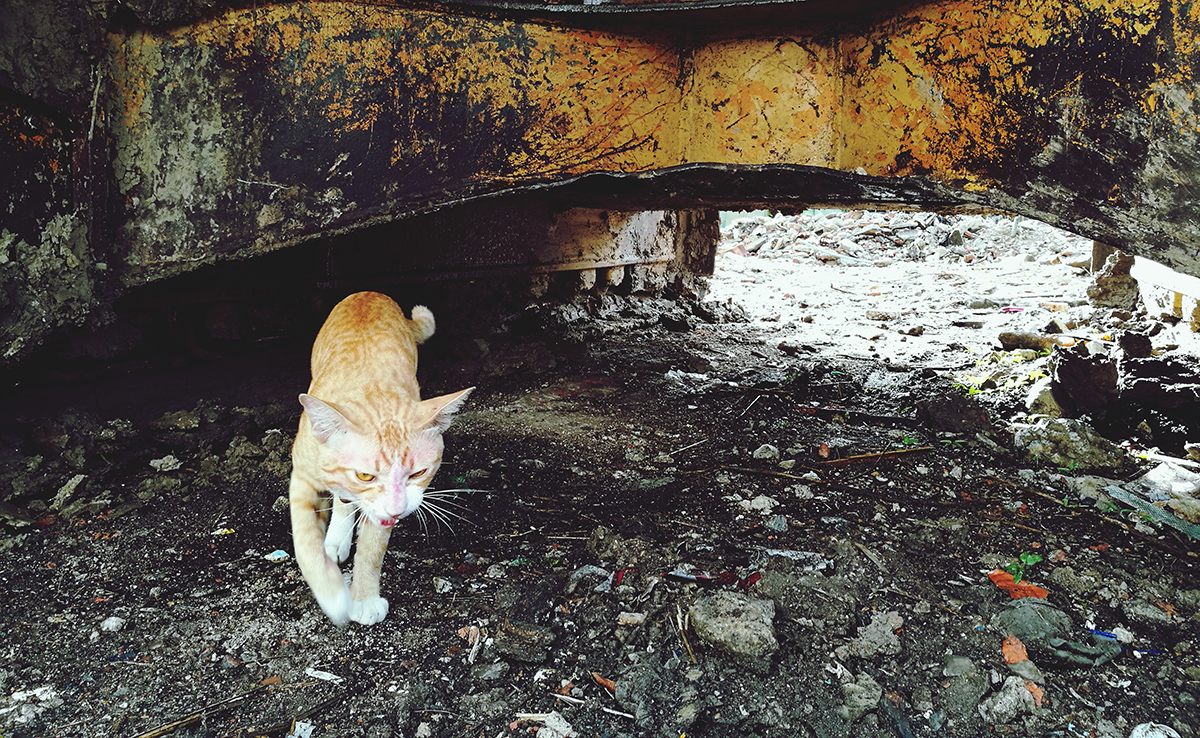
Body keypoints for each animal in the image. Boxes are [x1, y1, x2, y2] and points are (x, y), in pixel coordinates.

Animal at [290, 291, 472, 628]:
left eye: (418, 473)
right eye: (365, 475)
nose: (398, 509)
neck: (369, 386)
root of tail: (370, 293)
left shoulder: (382, 509)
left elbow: (373, 549)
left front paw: (364, 598)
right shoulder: (302, 477)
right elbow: (306, 542)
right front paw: (332, 594)